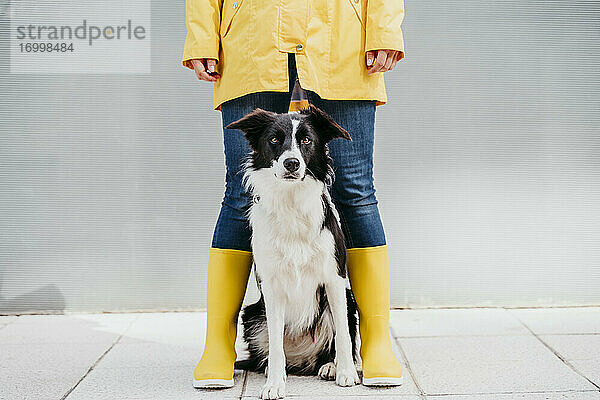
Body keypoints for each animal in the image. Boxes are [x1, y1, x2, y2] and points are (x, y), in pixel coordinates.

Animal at [227, 104, 360, 398]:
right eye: (275, 140)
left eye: (307, 140)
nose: (292, 163)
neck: (291, 201)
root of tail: (303, 358)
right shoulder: (272, 286)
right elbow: (276, 345)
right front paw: (275, 384)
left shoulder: (334, 279)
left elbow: (343, 335)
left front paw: (346, 372)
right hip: (253, 314)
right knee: (272, 351)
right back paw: (271, 367)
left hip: (348, 302)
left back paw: (330, 366)